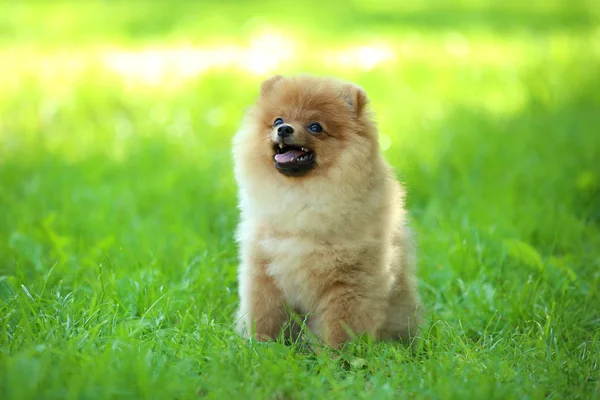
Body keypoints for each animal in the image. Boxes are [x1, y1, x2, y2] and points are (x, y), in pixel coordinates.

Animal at [232, 75, 424, 350]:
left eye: (315, 126)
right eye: (278, 120)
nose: (284, 129)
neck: (301, 197)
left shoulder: (348, 281)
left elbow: (340, 327)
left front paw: (337, 358)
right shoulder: (264, 270)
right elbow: (264, 315)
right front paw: (260, 347)